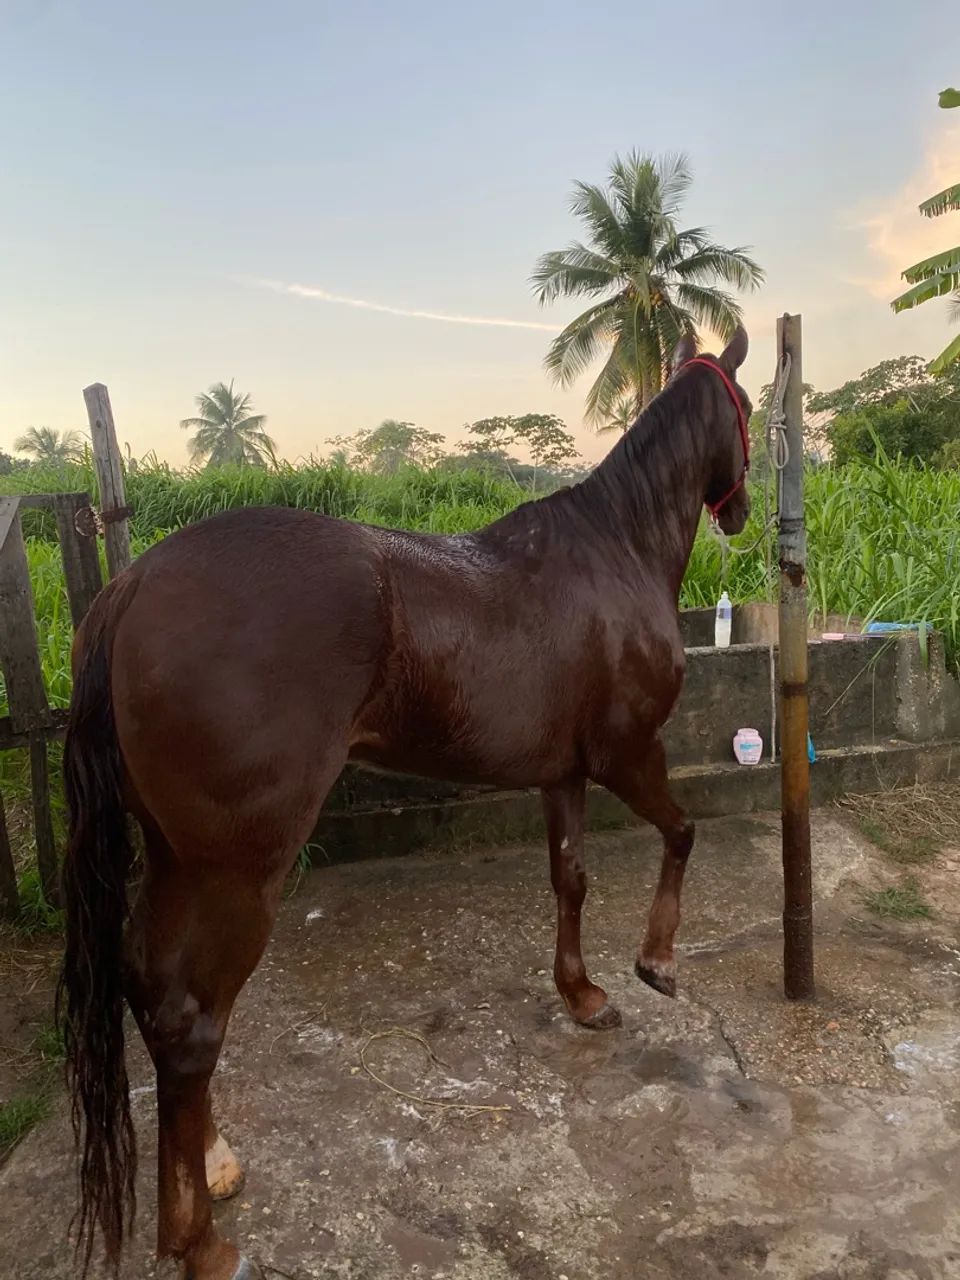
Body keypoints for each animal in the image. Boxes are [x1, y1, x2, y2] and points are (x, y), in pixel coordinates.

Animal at [57, 328, 752, 1279]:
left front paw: (582, 996)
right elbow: (682, 834)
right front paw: (657, 964)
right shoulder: (628, 756)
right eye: (748, 410)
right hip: (236, 874)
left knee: (150, 991)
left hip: (172, 858)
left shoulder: (565, 774)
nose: (743, 511)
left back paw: (212, 1163)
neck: (612, 552)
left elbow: (570, 880)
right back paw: (198, 1239)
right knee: (191, 1020)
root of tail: (131, 589)